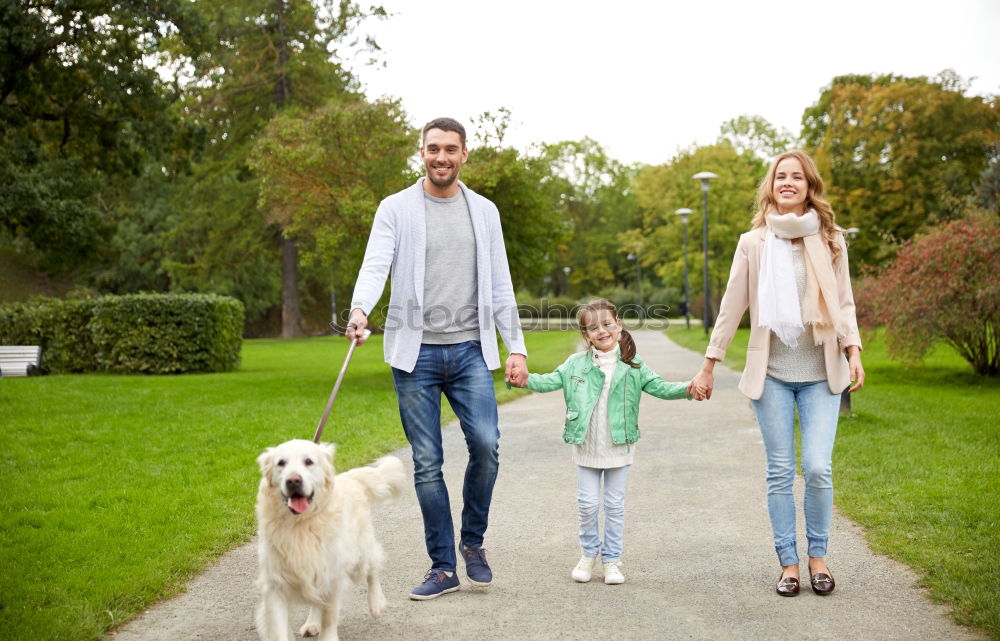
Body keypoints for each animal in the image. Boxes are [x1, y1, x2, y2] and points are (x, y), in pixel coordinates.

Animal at [254, 440, 406, 640]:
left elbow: (329, 615)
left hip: (358, 554)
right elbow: (279, 630)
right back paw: (312, 623)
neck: (300, 524)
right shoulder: (275, 584)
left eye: (308, 461)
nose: (293, 480)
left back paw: (376, 604)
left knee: (372, 568)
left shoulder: (332, 574)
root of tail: (350, 478)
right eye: (281, 463)